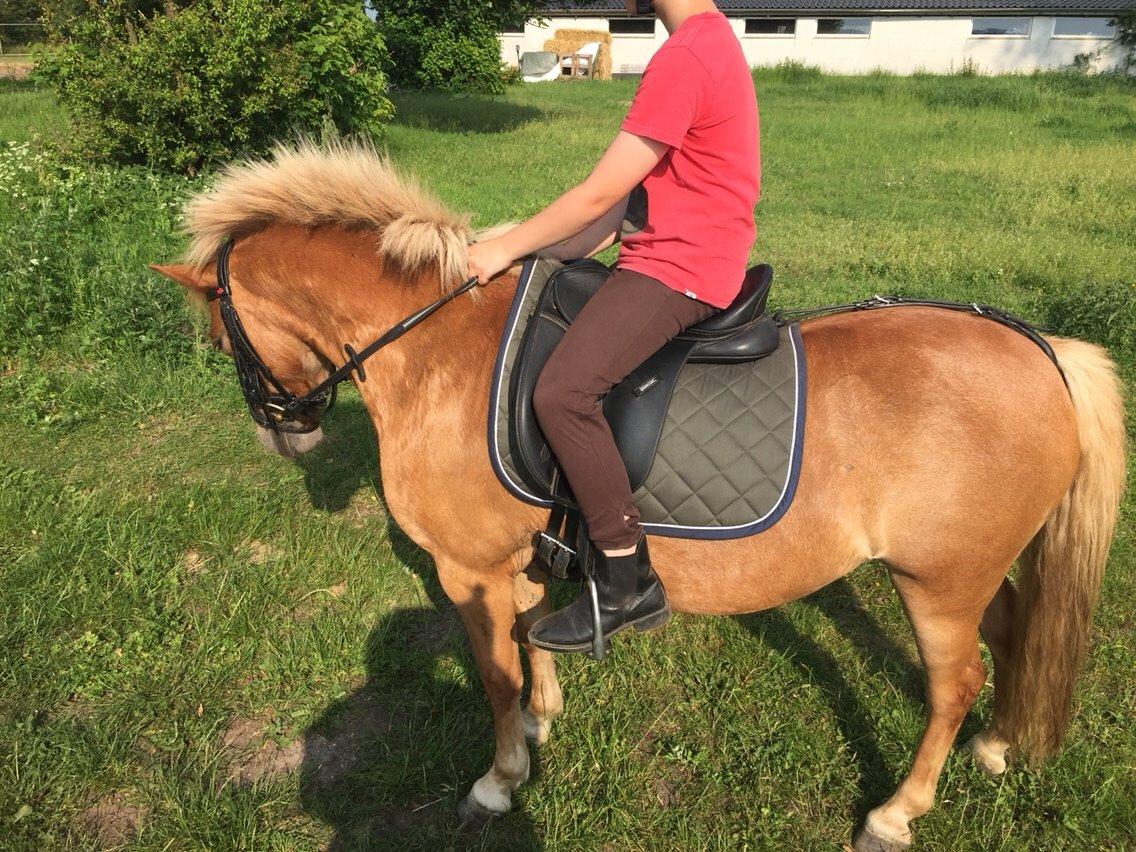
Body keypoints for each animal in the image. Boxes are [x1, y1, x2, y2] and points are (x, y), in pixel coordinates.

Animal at [151, 142, 1126, 851]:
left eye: (222, 331)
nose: (283, 432)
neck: (440, 346)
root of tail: (1043, 348)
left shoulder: (466, 567)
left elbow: (493, 672)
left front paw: (499, 780)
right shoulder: (512, 559)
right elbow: (525, 640)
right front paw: (543, 719)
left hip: (937, 583)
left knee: (953, 681)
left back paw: (898, 811)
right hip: (967, 570)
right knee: (1013, 630)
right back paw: (997, 743)